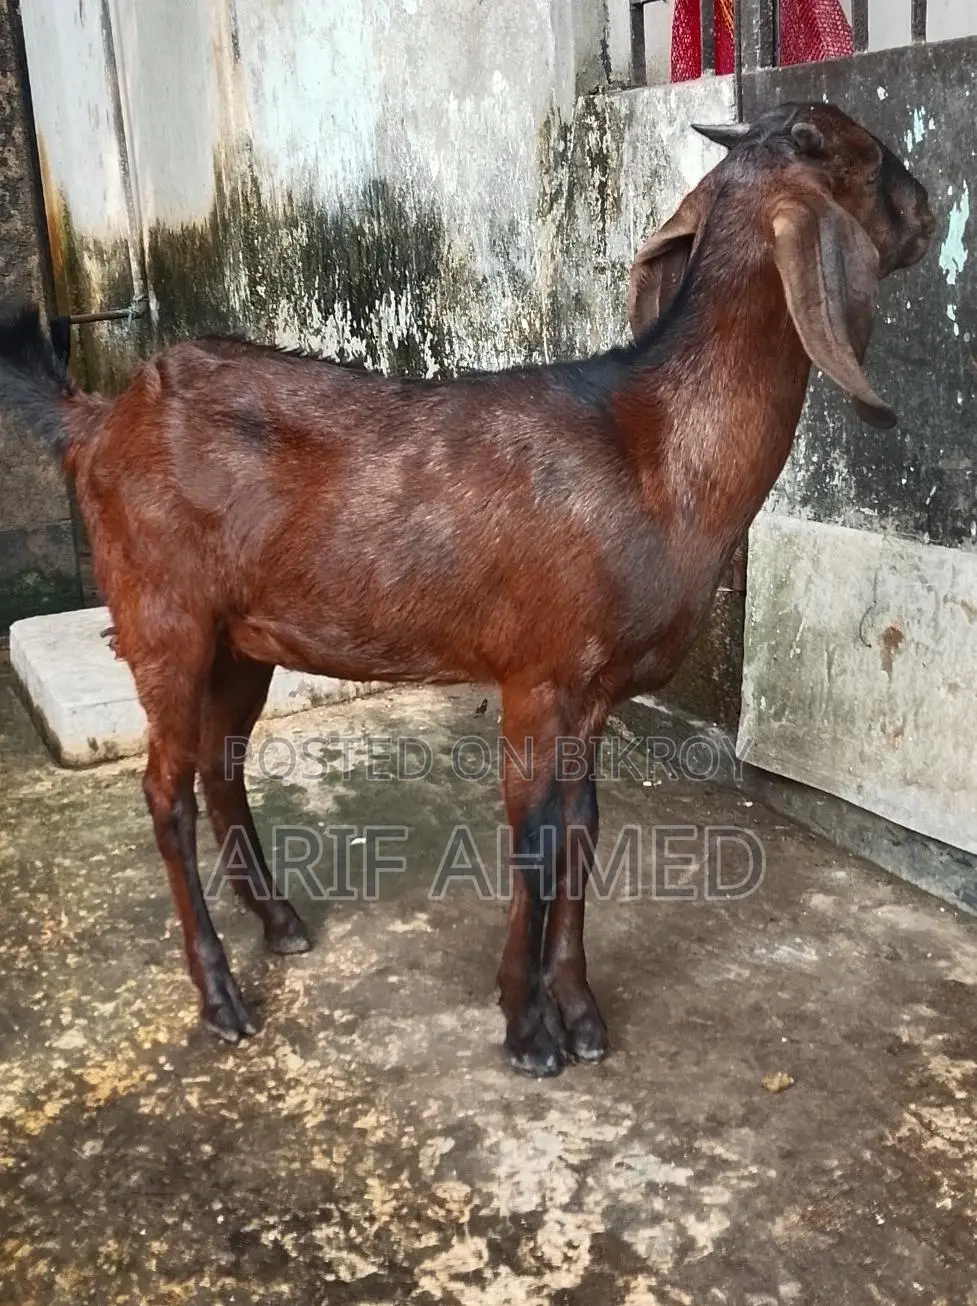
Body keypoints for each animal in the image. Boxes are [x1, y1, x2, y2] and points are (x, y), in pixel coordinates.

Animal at [0, 102, 933, 1077]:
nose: (930, 210)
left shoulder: (591, 689)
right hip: (161, 615)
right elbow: (533, 836)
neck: (655, 458)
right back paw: (220, 996)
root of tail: (99, 422)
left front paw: (581, 1013)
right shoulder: (537, 671)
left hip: (240, 638)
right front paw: (528, 1029)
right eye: (870, 159)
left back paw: (281, 922)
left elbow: (582, 830)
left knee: (221, 764)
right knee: (165, 791)